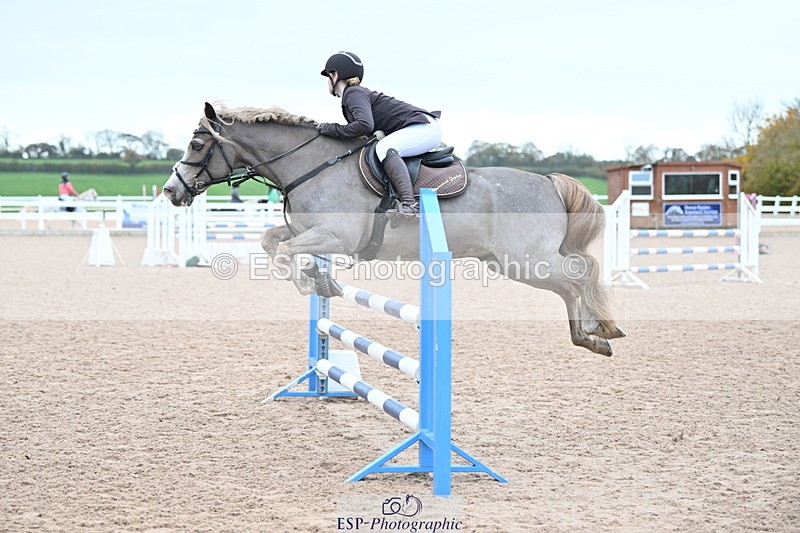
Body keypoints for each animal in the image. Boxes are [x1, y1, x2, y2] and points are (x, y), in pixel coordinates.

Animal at [163, 103, 624, 356]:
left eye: (197, 145)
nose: (171, 190)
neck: (312, 166)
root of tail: (548, 181)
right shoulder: (309, 231)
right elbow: (272, 242)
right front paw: (320, 280)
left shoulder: (336, 237)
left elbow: (285, 253)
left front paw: (313, 283)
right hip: (511, 262)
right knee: (572, 281)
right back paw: (594, 336)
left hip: (526, 261)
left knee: (579, 276)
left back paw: (600, 331)